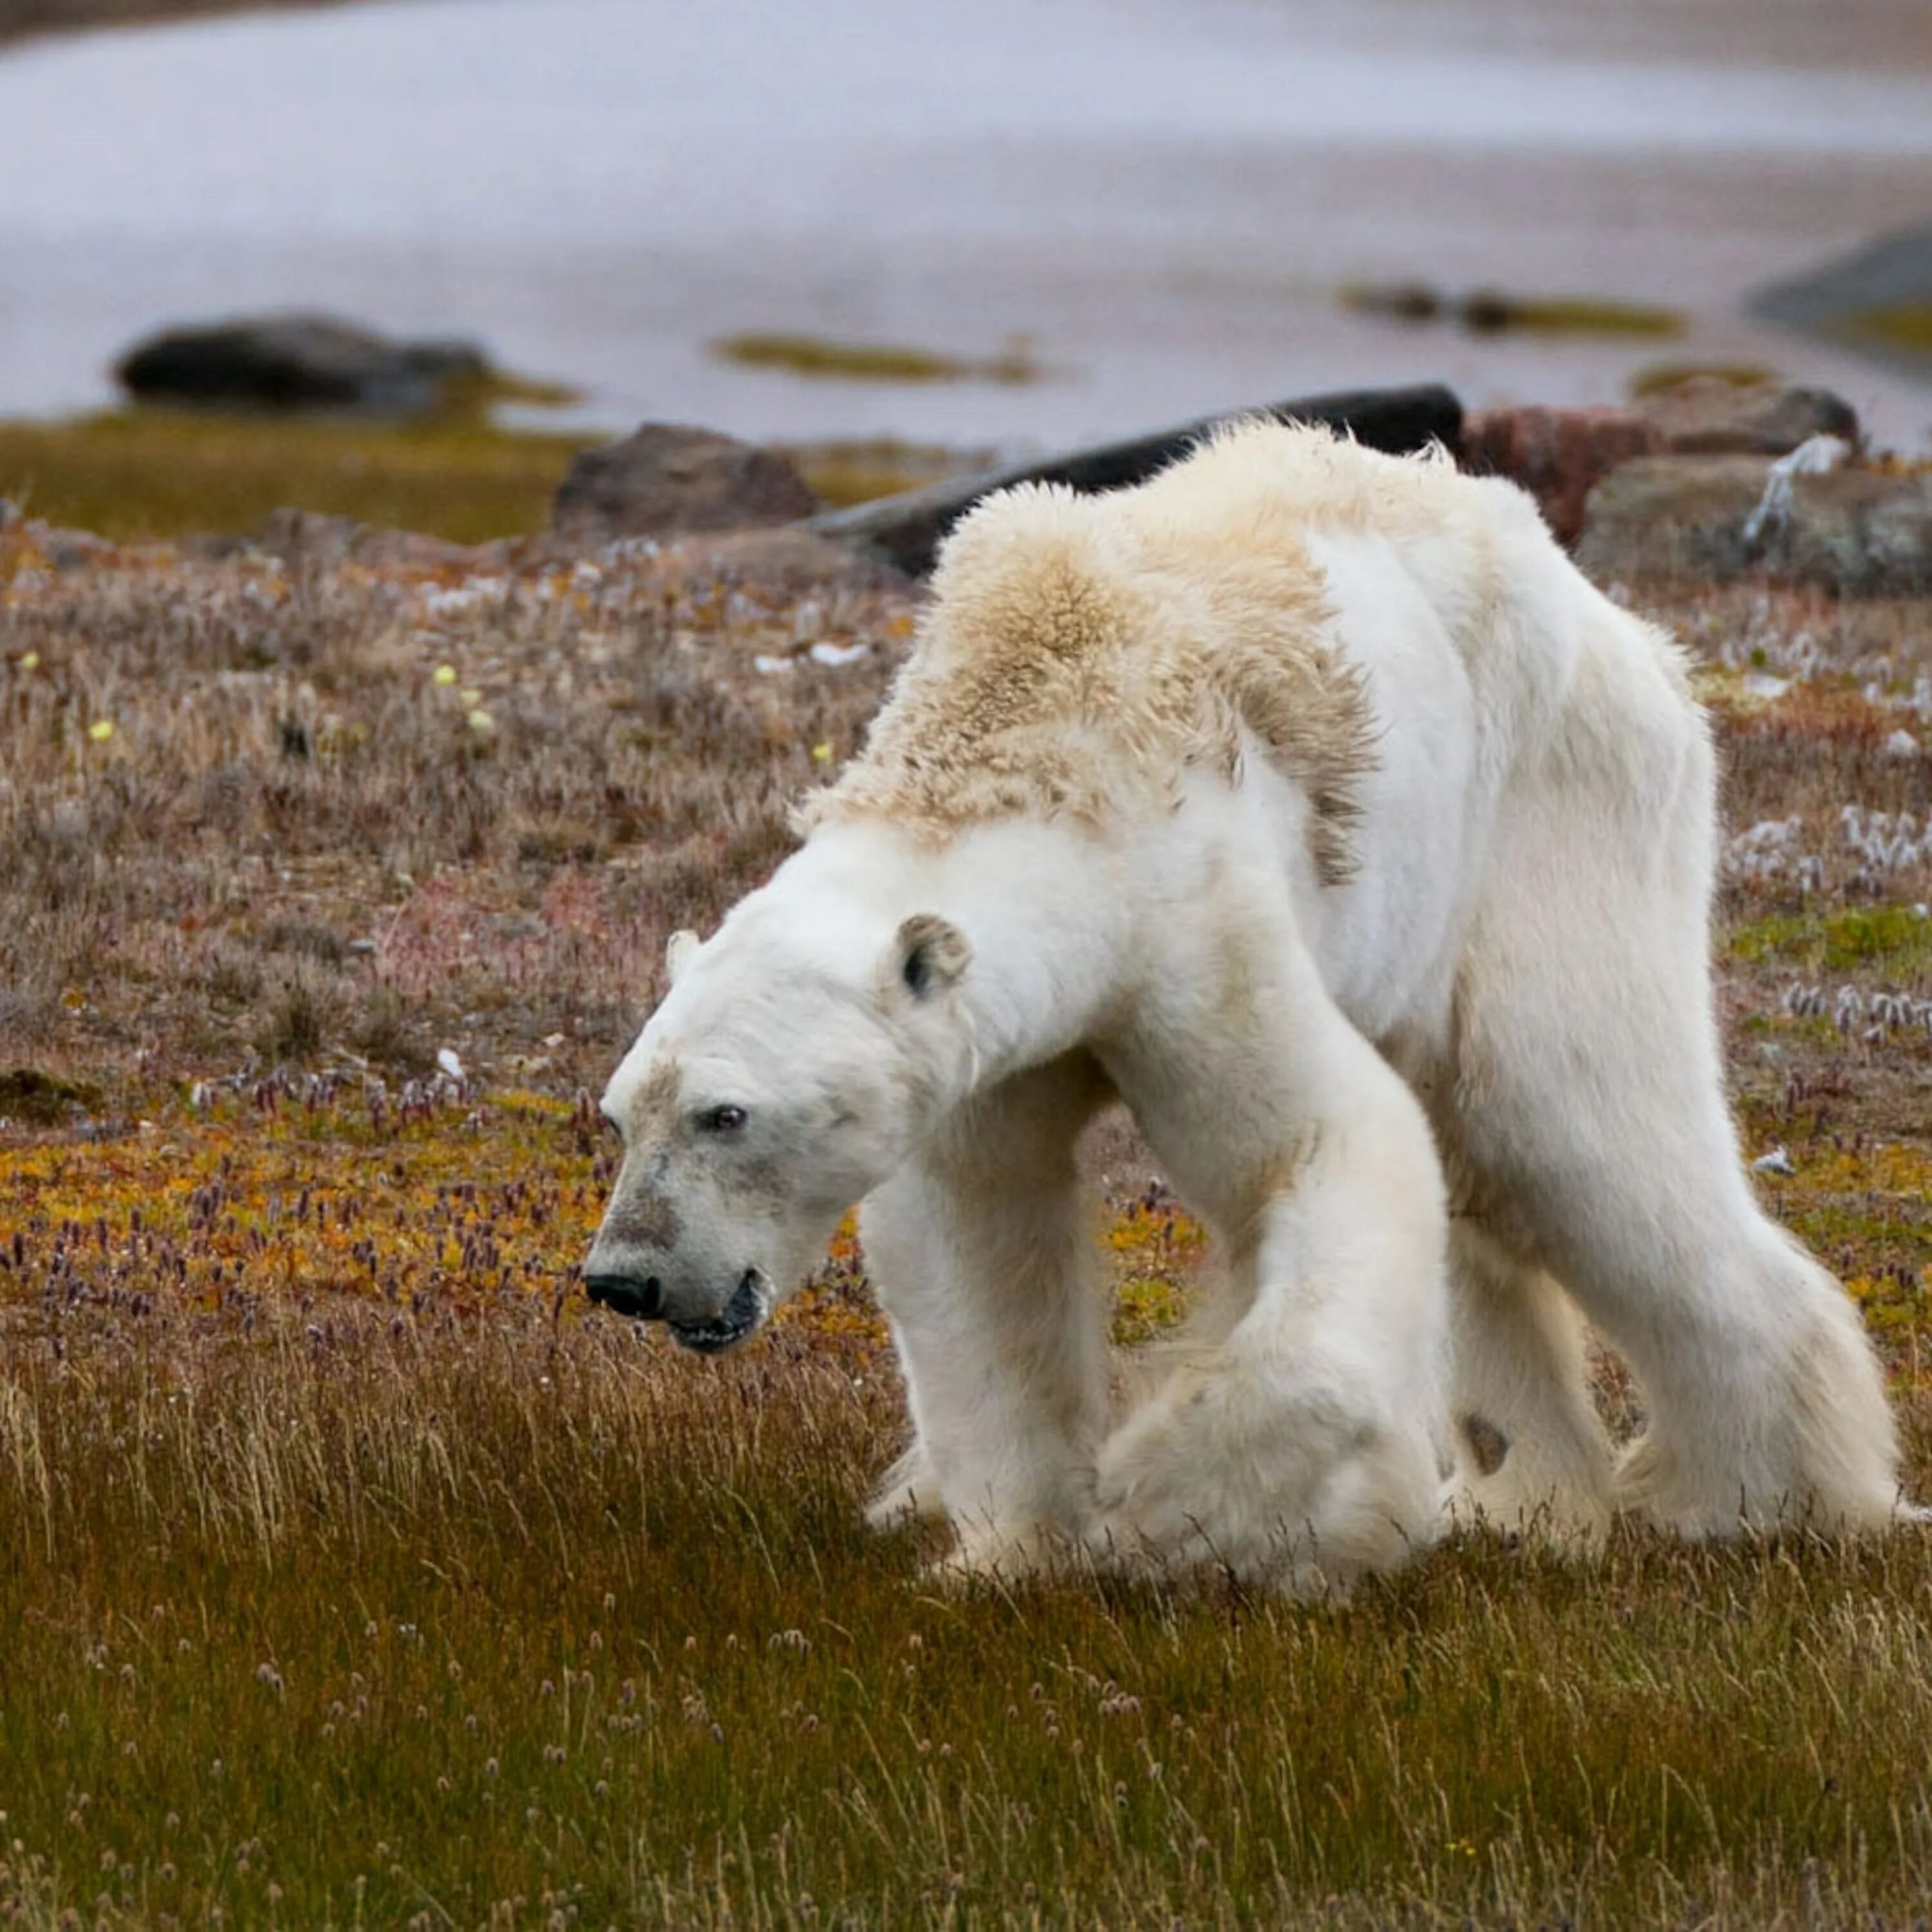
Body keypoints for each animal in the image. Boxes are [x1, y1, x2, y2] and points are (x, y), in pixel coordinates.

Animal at [580, 419, 1909, 1584]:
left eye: (727, 1115)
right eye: (621, 1112)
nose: (624, 1278)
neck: (1033, 734)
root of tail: (1627, 630)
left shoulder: (1191, 921)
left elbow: (1319, 1147)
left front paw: (1185, 1511)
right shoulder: (984, 1044)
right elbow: (977, 1233)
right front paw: (1012, 1552)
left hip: (1552, 816)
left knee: (1571, 1132)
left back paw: (1761, 1500)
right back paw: (1530, 1498)